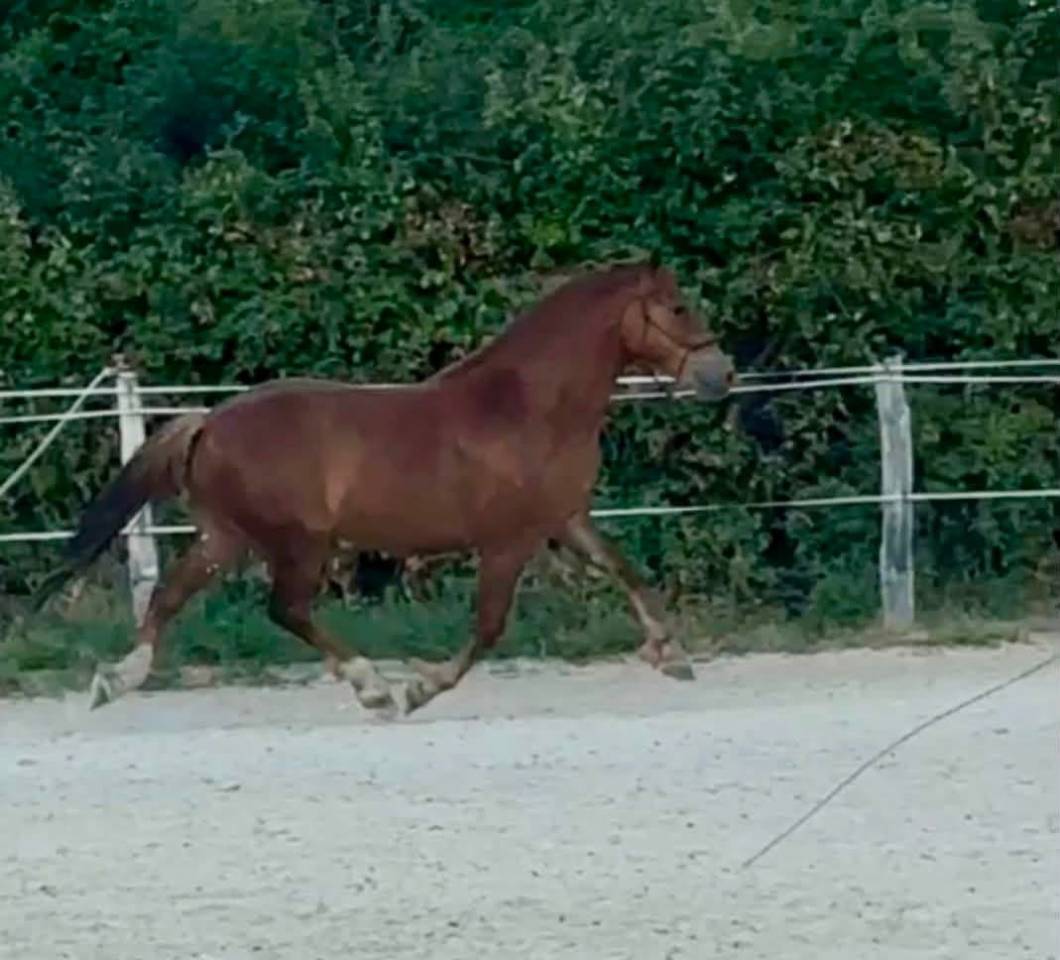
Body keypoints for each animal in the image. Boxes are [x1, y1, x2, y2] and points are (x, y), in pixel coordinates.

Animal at [34, 261, 735, 715]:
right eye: (678, 307)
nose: (720, 372)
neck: (528, 406)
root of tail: (208, 421)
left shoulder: (564, 518)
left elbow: (625, 570)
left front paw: (671, 654)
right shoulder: (507, 541)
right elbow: (488, 627)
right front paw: (420, 689)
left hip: (225, 538)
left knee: (171, 596)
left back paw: (118, 680)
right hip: (299, 543)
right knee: (285, 609)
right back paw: (371, 685)